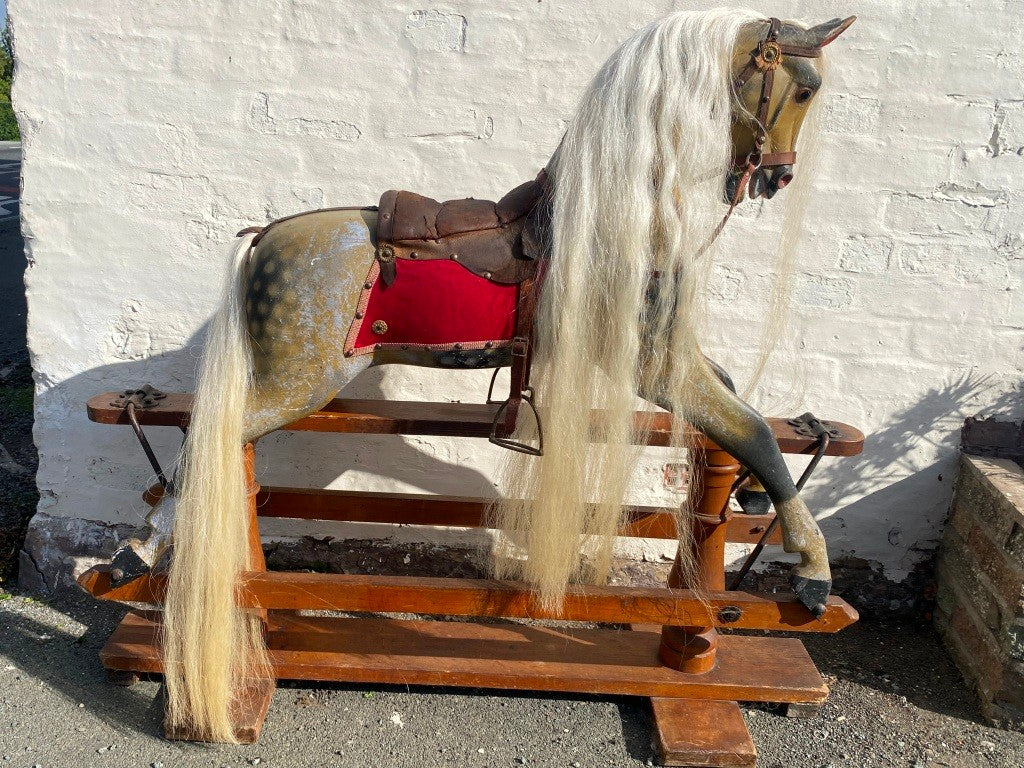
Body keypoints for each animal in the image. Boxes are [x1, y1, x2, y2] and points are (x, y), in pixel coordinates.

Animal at [109, 8, 855, 741]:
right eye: (806, 88)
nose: (778, 178)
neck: (616, 213)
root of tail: (264, 238)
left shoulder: (668, 355)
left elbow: (736, 395)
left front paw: (753, 495)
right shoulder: (656, 365)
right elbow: (754, 428)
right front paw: (813, 570)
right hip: (298, 382)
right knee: (204, 442)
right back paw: (136, 554)